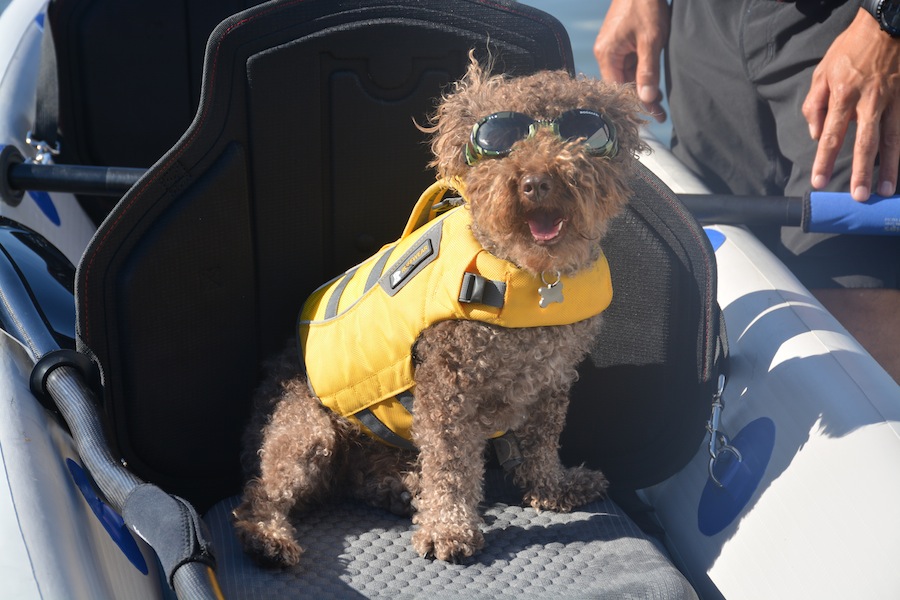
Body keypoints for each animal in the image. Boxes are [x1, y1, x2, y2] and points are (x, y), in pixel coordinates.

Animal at [232, 57, 648, 568]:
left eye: (582, 132)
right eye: (498, 139)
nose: (536, 181)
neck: (529, 275)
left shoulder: (551, 381)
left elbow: (541, 445)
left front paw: (554, 488)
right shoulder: (447, 390)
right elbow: (451, 466)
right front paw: (448, 528)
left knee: (360, 476)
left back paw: (402, 488)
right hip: (306, 429)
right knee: (265, 490)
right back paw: (269, 537)